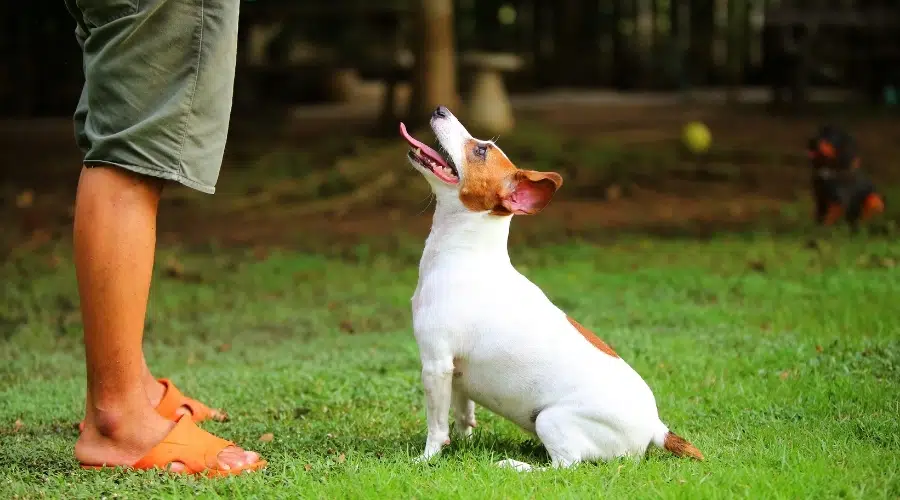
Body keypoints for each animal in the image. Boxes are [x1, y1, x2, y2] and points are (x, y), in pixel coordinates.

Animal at [400, 106, 704, 472]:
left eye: (482, 150)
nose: (440, 109)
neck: (464, 254)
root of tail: (655, 428)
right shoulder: (456, 372)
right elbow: (462, 414)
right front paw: (463, 443)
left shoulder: (436, 363)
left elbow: (436, 425)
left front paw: (427, 457)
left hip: (551, 420)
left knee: (563, 465)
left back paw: (514, 465)